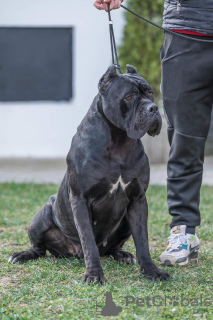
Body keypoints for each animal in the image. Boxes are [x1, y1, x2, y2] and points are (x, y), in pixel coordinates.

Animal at [8, 64, 170, 282]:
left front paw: (152, 271)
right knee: (40, 249)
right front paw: (93, 274)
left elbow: (142, 241)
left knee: (111, 248)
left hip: (126, 220)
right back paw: (23, 254)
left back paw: (122, 255)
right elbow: (88, 241)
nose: (153, 108)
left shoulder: (138, 200)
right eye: (129, 97)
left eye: (150, 93)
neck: (120, 142)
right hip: (41, 218)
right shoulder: (80, 199)